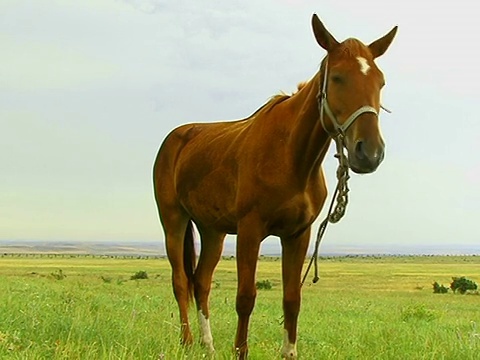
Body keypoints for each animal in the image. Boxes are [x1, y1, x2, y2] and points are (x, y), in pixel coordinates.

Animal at [154, 12, 398, 358]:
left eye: (380, 81)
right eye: (337, 77)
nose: (370, 152)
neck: (291, 157)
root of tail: (176, 138)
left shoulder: (298, 234)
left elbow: (292, 299)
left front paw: (289, 351)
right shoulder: (250, 229)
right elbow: (245, 297)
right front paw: (240, 350)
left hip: (212, 230)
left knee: (201, 282)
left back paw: (208, 345)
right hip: (173, 220)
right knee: (180, 281)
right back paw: (187, 342)